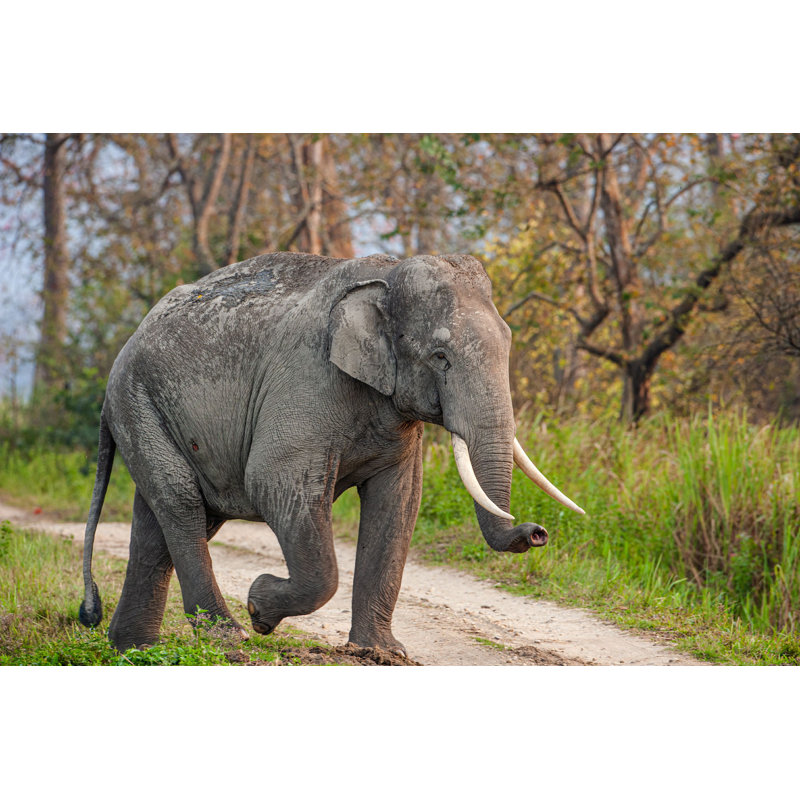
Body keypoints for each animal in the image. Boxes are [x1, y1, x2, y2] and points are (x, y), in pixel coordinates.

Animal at [79, 252, 584, 656]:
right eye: (440, 356)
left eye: (509, 342)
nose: (537, 531)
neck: (387, 277)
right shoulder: (307, 381)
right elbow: (273, 481)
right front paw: (260, 606)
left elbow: (399, 504)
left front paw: (382, 655)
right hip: (136, 402)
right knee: (183, 503)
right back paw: (228, 638)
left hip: (150, 412)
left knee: (166, 522)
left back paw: (133, 650)